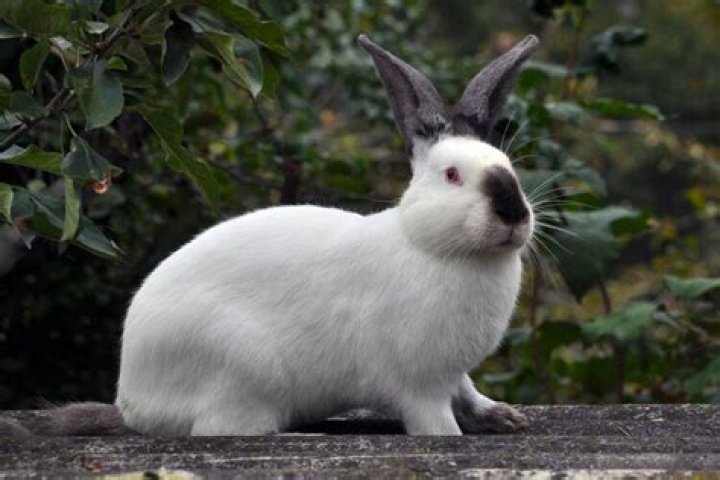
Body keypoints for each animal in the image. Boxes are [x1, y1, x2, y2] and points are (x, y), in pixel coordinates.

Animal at [0, 33, 539, 437]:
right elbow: (437, 424)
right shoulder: (420, 384)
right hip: (244, 369)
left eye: (509, 168)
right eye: (452, 175)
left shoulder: (453, 373)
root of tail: (132, 402)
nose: (513, 212)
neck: (431, 245)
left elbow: (468, 391)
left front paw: (505, 417)